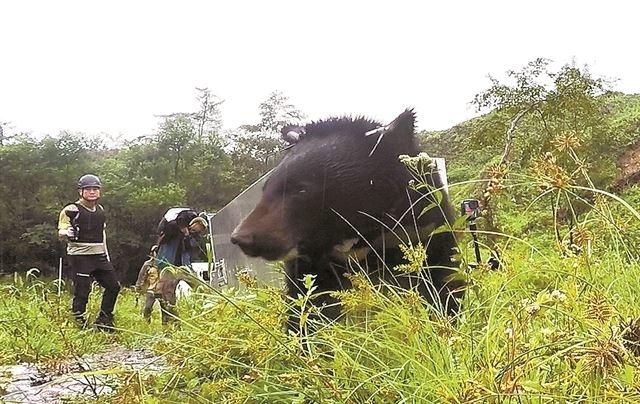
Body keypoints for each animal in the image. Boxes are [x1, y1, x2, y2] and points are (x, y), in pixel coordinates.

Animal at [232, 109, 462, 330]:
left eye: (302, 189)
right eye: (265, 189)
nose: (241, 237)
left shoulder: (421, 226)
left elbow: (441, 280)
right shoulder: (313, 263)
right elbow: (308, 300)